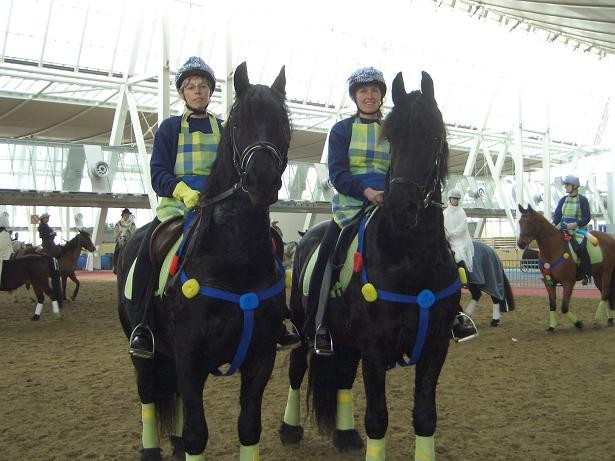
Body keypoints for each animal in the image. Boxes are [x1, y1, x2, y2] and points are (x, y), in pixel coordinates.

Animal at [116, 61, 291, 460]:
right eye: (237, 123)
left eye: (283, 123)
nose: (261, 179)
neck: (235, 260)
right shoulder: (189, 357)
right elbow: (198, 434)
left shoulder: (261, 357)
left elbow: (249, 428)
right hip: (143, 354)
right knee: (148, 393)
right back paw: (151, 450)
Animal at [279, 71, 460, 460]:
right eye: (391, 139)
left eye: (434, 136)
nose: (400, 207)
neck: (411, 260)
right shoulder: (376, 346)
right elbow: (378, 418)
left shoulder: (436, 344)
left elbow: (425, 416)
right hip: (305, 326)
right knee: (297, 365)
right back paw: (289, 429)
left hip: (347, 339)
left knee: (344, 375)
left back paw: (345, 435)